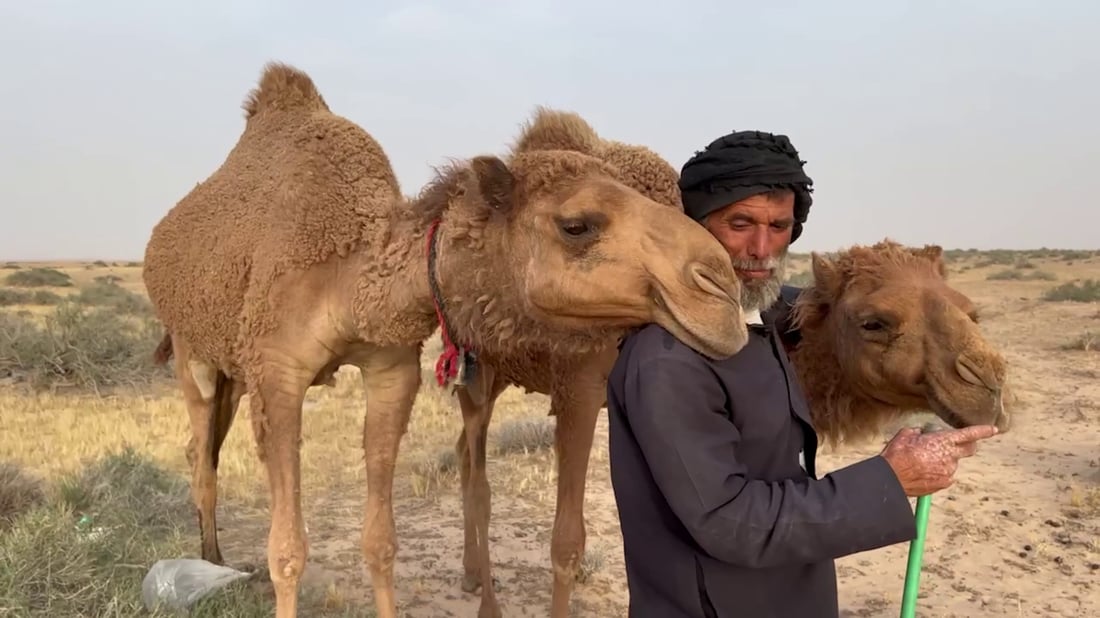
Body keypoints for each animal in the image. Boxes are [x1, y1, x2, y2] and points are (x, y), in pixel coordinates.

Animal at [139, 58, 748, 615]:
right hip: (194, 350)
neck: (350, 278)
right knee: (202, 454)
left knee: (207, 447)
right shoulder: (278, 372)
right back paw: (212, 562)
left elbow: (381, 543)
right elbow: (287, 551)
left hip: (236, 368)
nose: (720, 287)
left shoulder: (391, 368)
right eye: (576, 225)